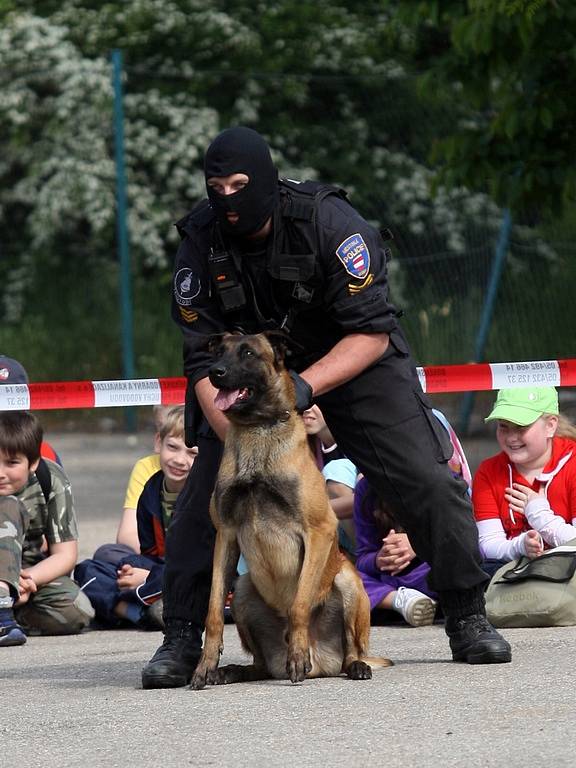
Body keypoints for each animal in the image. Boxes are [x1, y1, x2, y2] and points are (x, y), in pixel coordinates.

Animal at [190, 332, 392, 688]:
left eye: (248, 353)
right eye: (219, 352)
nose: (214, 372)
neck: (258, 430)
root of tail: (323, 663)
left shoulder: (319, 531)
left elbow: (299, 605)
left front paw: (297, 655)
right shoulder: (225, 535)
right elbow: (213, 612)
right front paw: (206, 664)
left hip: (348, 582)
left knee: (353, 650)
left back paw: (352, 665)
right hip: (243, 591)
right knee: (258, 664)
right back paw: (233, 670)